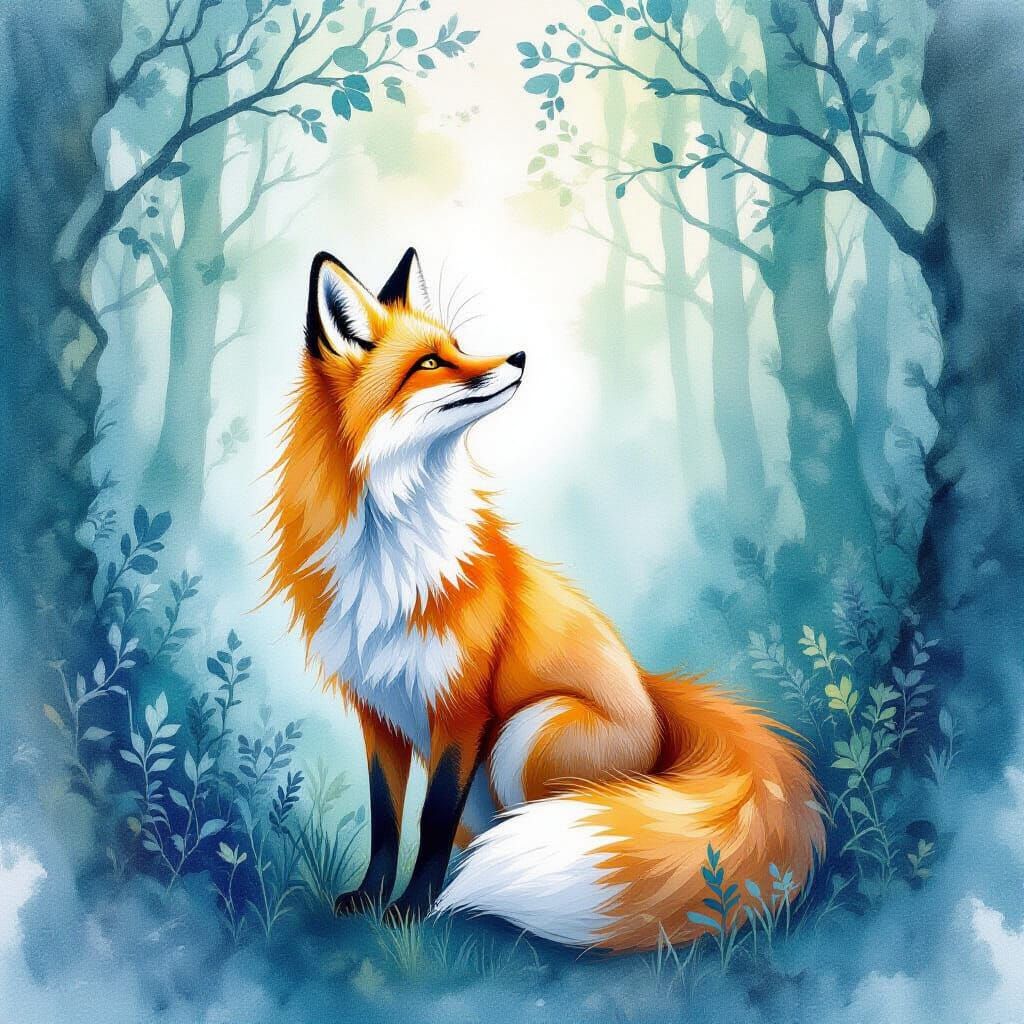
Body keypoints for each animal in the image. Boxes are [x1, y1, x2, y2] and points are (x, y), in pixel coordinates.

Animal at [265, 246, 825, 951]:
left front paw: (414, 911)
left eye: (459, 344)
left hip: (523, 734)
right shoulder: (379, 710)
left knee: (538, 822)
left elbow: (431, 820)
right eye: (429, 363)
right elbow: (387, 820)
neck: (390, 551)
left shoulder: (463, 710)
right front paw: (370, 899)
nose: (520, 356)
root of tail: (653, 697)